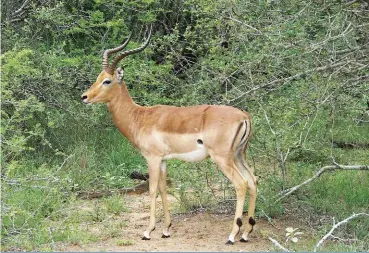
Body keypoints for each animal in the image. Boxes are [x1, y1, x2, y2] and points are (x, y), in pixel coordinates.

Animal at [82, 26, 258, 244]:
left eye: (107, 80)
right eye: (98, 78)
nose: (84, 97)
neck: (140, 117)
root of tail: (244, 116)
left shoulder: (152, 158)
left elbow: (151, 190)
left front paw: (147, 232)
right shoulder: (164, 160)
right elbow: (164, 189)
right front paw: (166, 229)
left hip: (223, 158)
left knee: (241, 184)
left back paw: (232, 235)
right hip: (239, 155)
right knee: (253, 181)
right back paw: (246, 234)